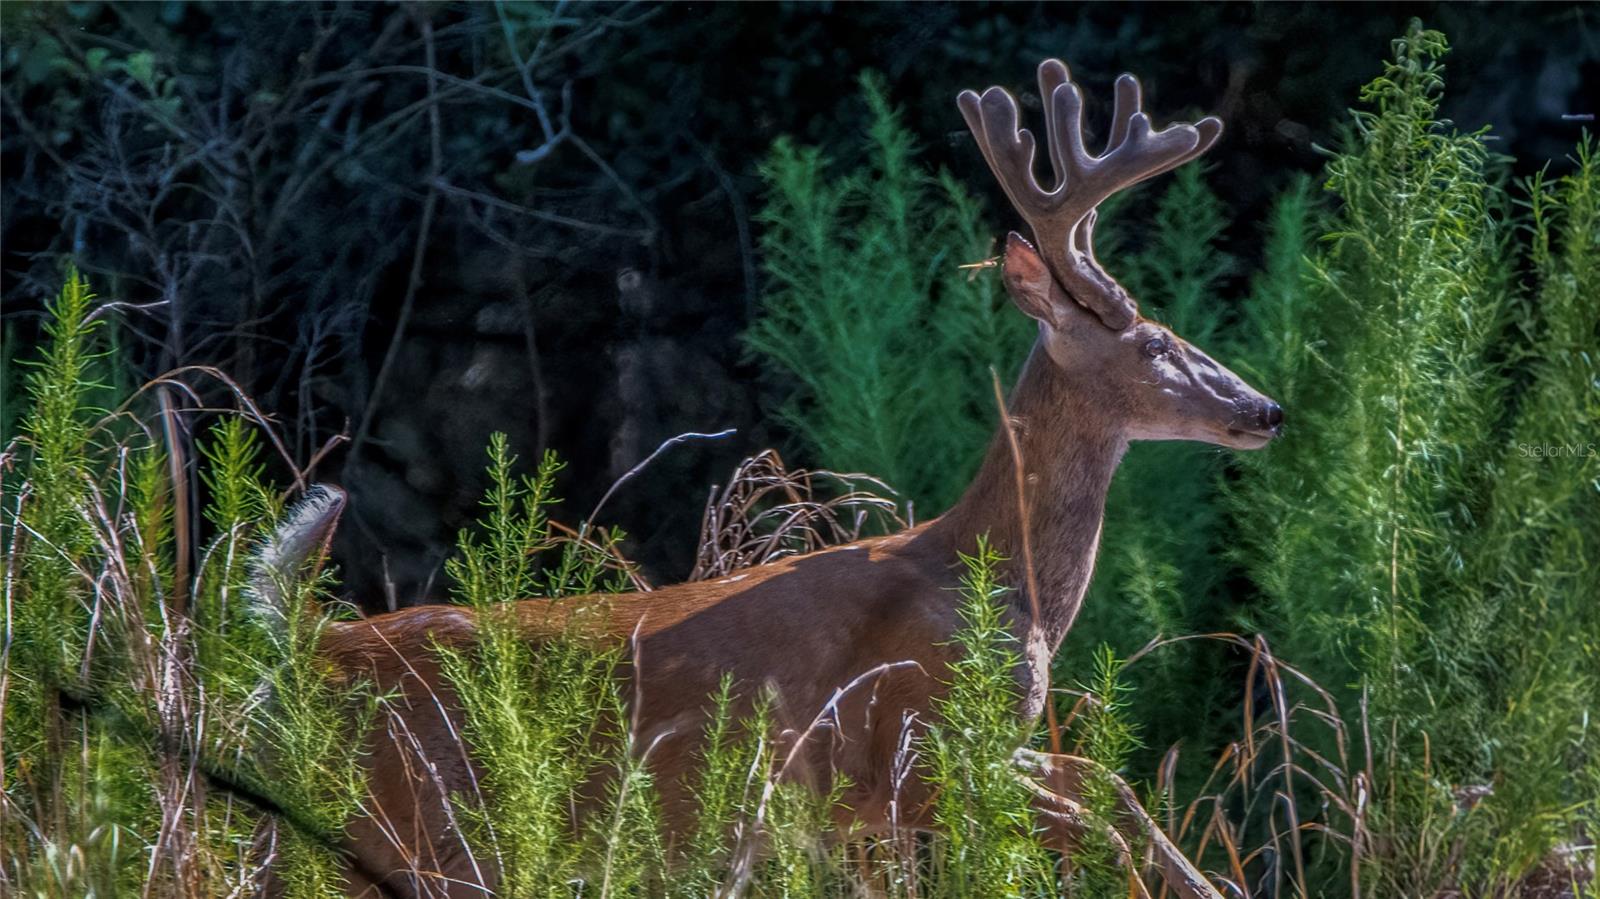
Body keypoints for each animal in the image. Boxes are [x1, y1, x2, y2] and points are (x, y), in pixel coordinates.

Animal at [256, 61, 1280, 895]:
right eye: (1156, 343)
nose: (1266, 407)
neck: (994, 580)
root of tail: (308, 649)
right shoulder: (916, 749)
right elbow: (1092, 813)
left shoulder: (952, 760)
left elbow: (1108, 787)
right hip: (414, 827)